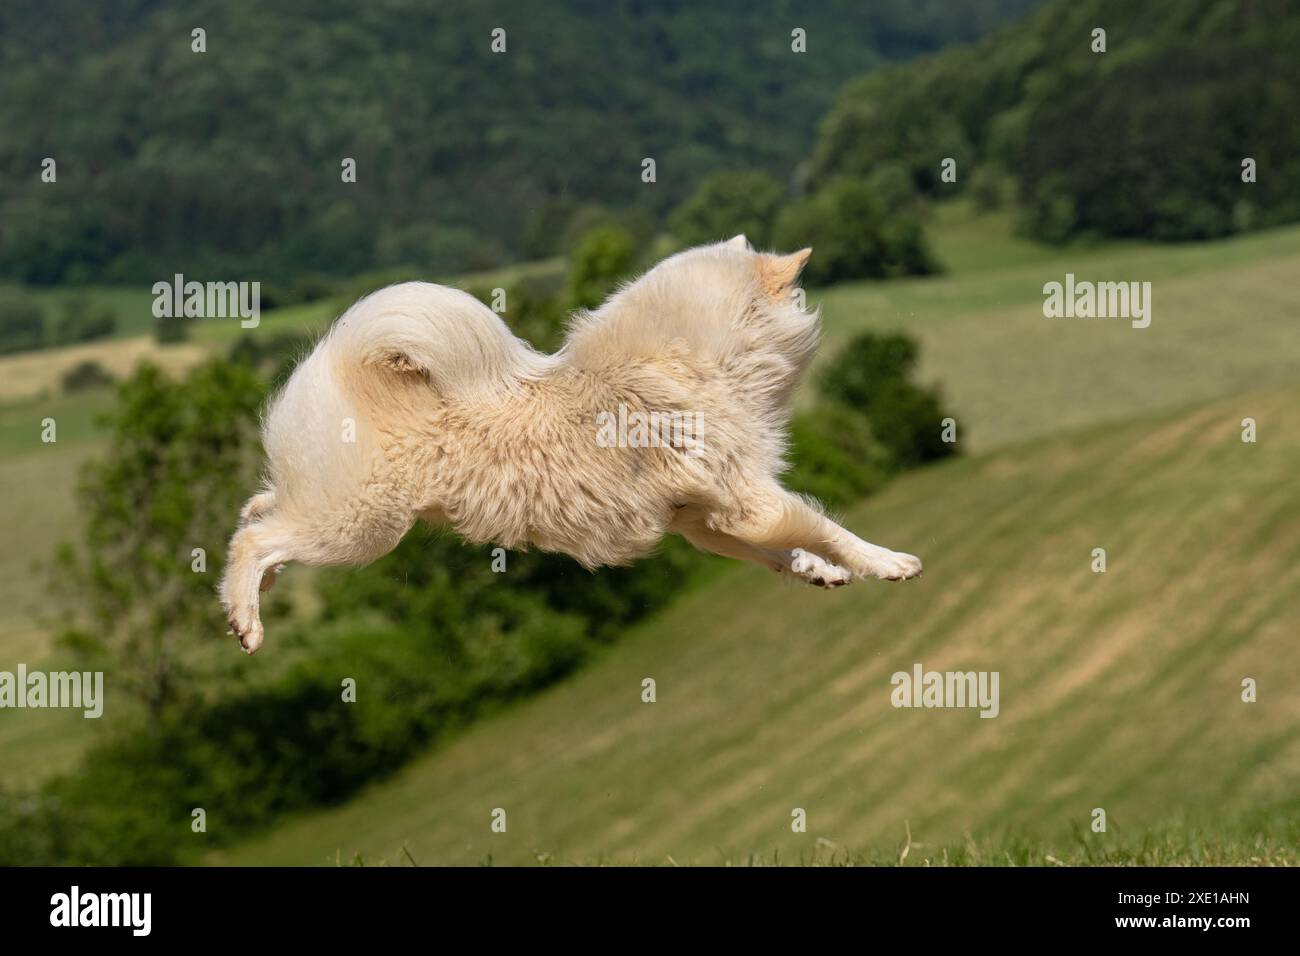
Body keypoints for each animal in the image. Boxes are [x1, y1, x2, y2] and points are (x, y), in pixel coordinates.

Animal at [218, 240, 920, 658]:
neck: (695, 357)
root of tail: (340, 357)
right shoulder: (750, 500)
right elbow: (827, 527)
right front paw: (887, 563)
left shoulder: (707, 521)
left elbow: (780, 551)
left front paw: (817, 572)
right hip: (360, 528)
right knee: (255, 540)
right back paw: (247, 619)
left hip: (327, 512)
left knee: (258, 513)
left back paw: (247, 587)